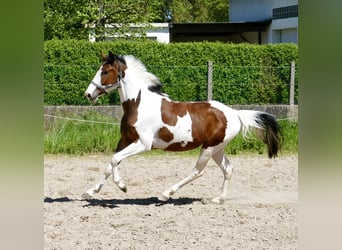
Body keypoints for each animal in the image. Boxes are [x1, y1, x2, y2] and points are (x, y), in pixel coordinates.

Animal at [82, 51, 280, 203]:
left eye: (105, 71)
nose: (88, 94)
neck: (138, 104)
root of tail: (235, 113)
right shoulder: (125, 140)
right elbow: (110, 163)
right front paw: (89, 192)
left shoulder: (143, 144)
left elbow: (115, 159)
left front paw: (122, 186)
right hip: (217, 149)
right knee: (228, 169)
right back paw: (218, 199)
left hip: (209, 148)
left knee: (197, 172)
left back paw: (165, 194)